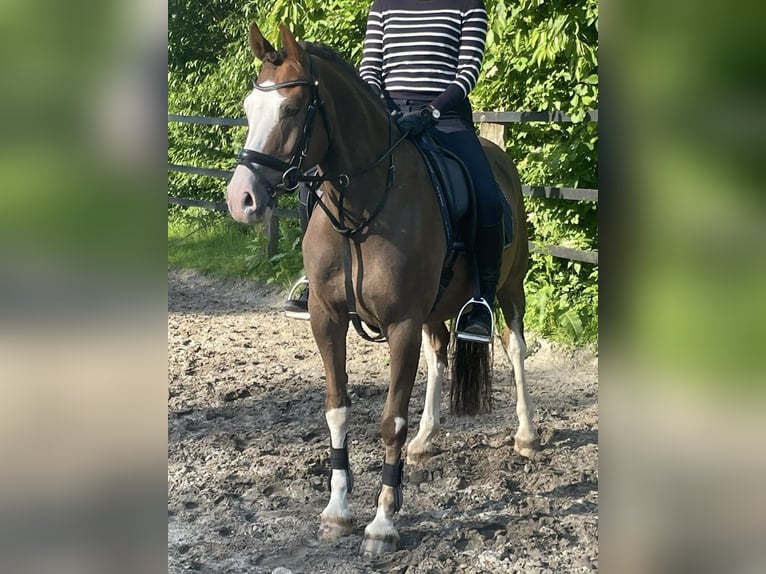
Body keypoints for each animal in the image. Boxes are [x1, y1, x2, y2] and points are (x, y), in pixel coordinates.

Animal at [228, 21, 540, 560]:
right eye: (250, 108)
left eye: (291, 109)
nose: (240, 199)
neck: (360, 207)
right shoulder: (327, 319)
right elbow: (337, 409)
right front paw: (337, 512)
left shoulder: (402, 324)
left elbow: (390, 420)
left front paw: (382, 524)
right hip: (438, 309)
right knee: (440, 353)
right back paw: (426, 439)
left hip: (509, 288)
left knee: (514, 347)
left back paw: (525, 435)